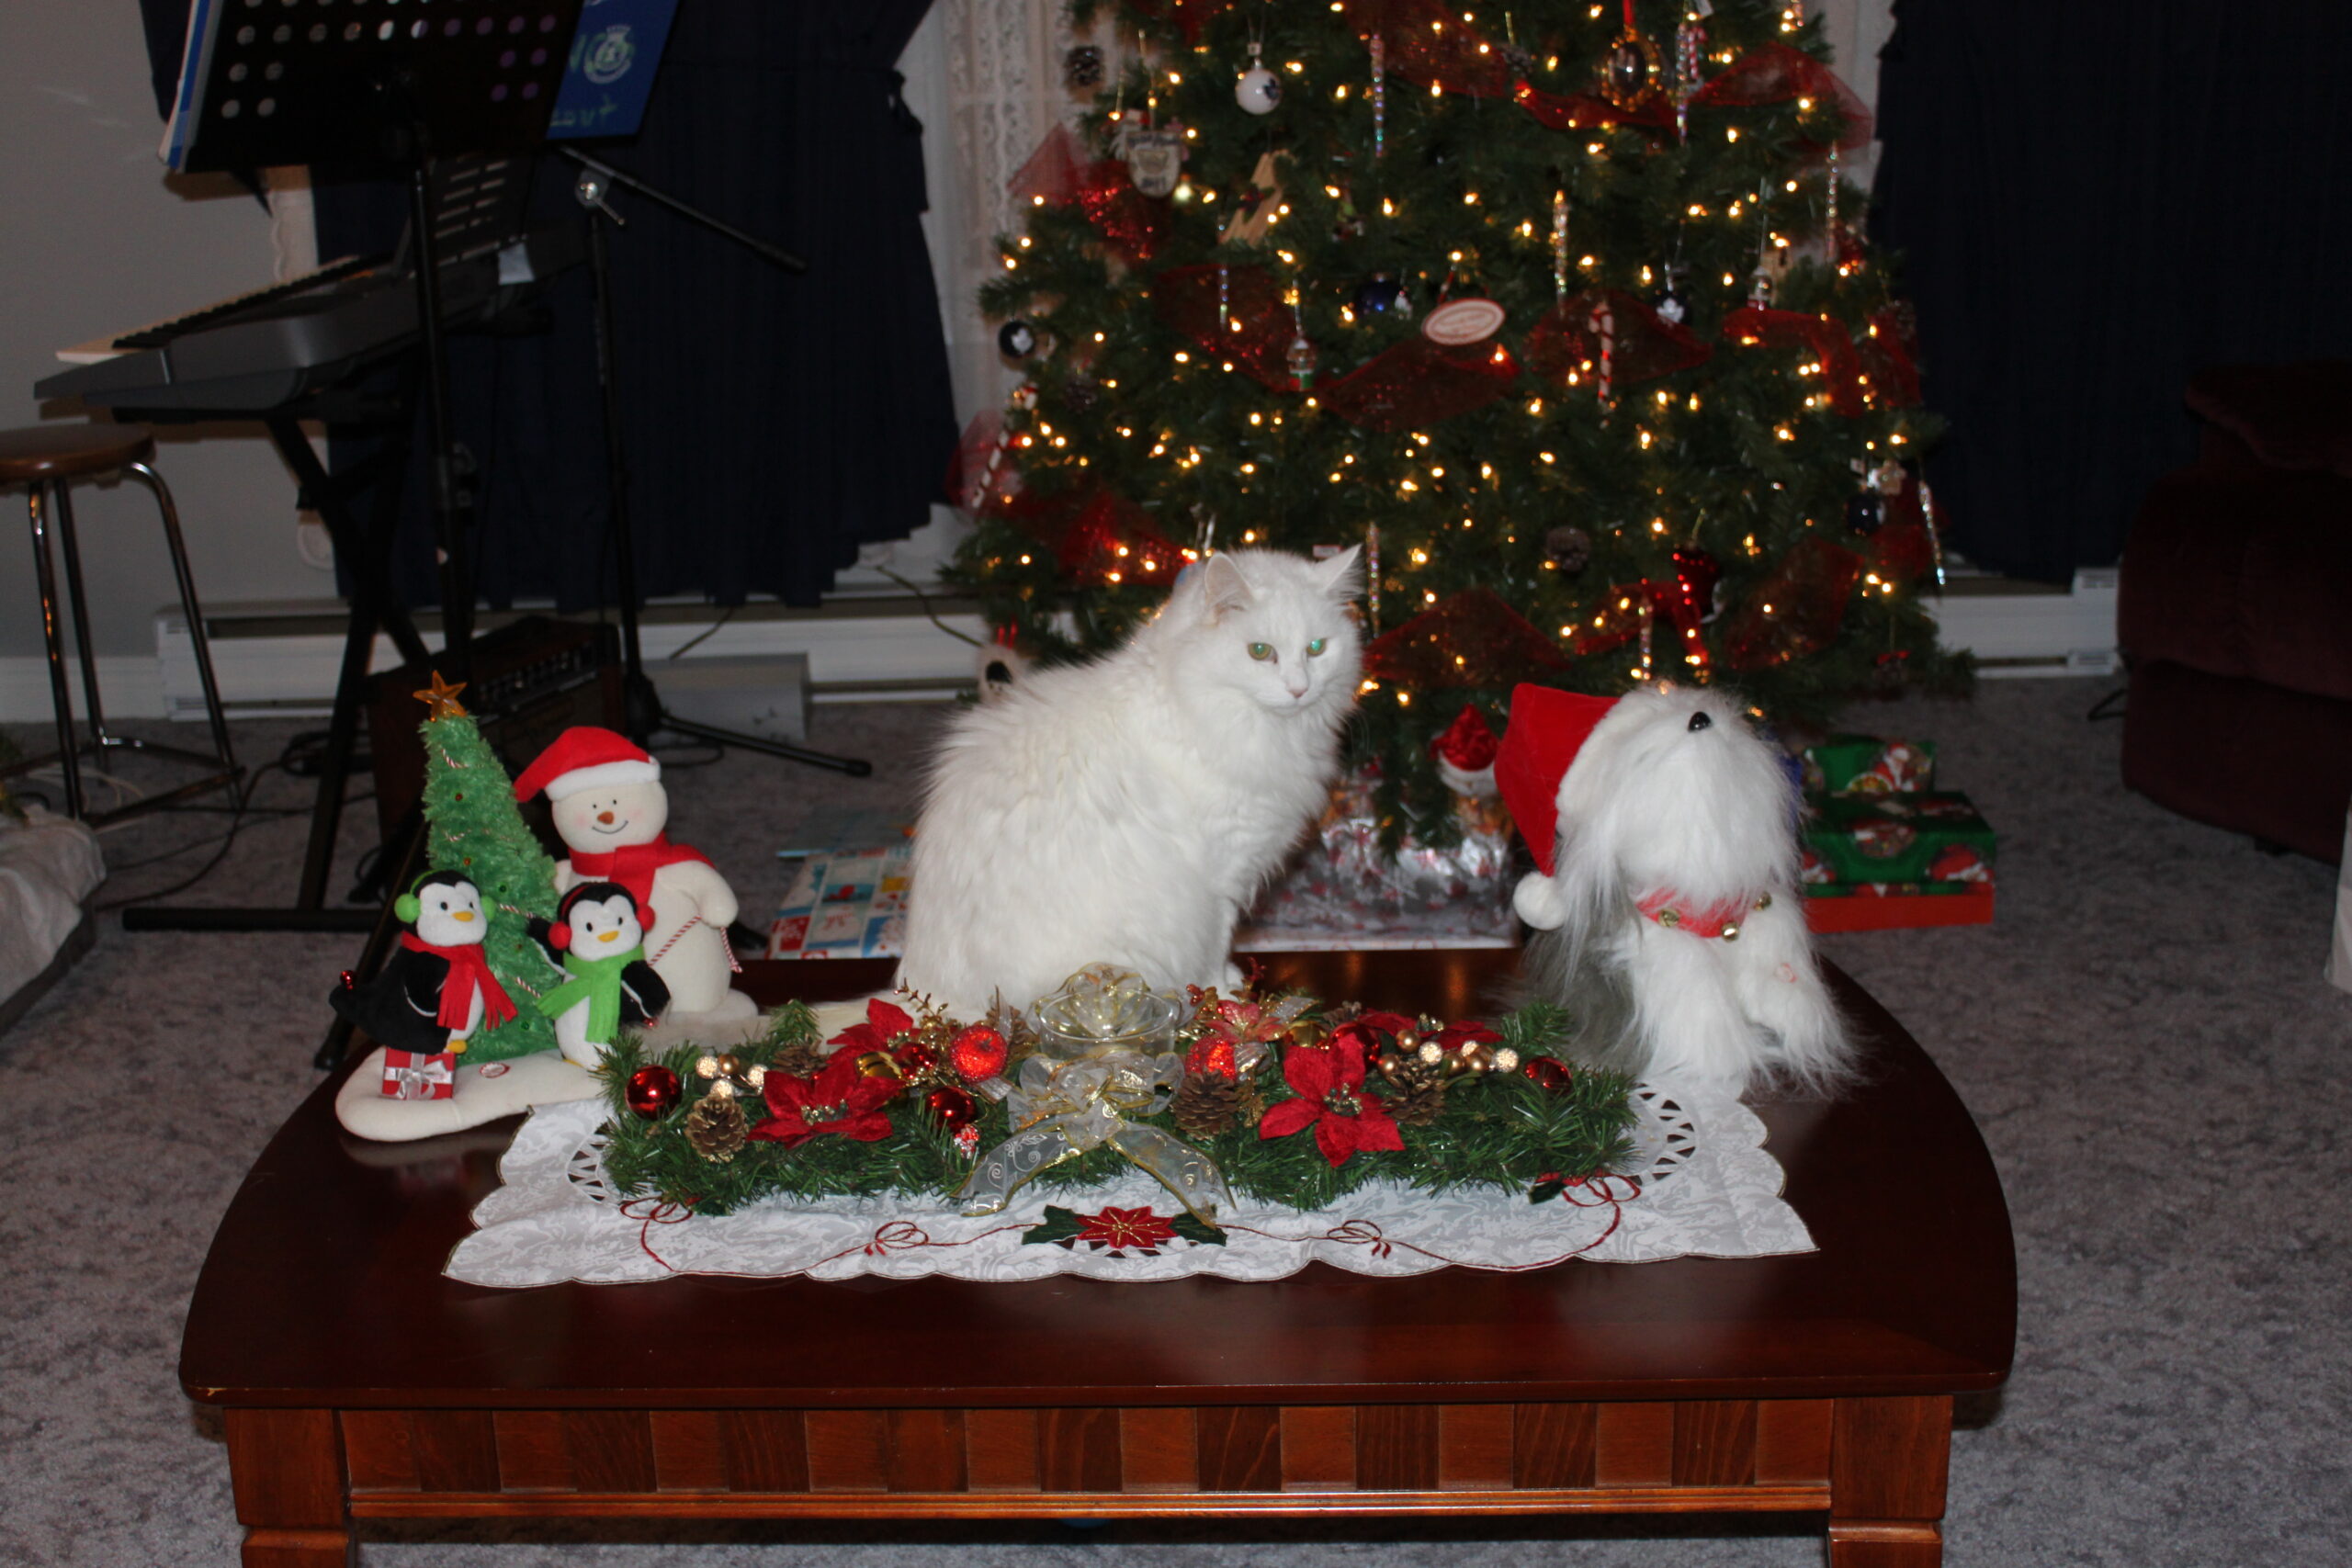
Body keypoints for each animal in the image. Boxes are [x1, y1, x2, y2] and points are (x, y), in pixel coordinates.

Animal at [898, 546, 1364, 1020]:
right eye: (1260, 652)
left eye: (1317, 648)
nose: (1299, 689)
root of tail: (927, 992)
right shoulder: (1222, 874)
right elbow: (1215, 947)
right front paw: (1223, 996)